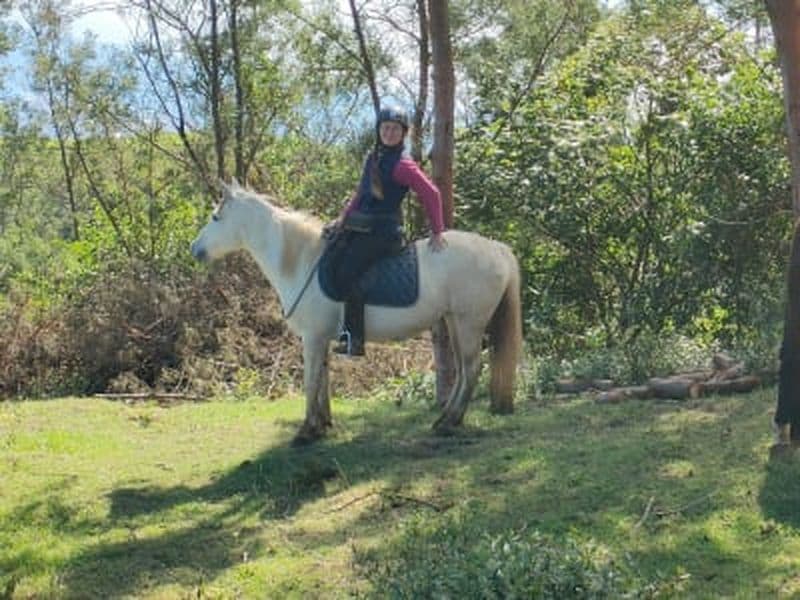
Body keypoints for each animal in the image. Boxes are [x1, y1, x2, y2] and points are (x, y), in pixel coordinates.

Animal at [190, 181, 522, 443]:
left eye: (215, 217)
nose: (195, 250)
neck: (302, 261)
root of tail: (498, 248)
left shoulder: (312, 338)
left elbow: (310, 381)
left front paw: (306, 432)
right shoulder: (321, 339)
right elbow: (322, 380)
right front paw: (323, 424)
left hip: (469, 323)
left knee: (471, 369)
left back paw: (450, 422)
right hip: (455, 321)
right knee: (464, 371)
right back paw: (445, 419)